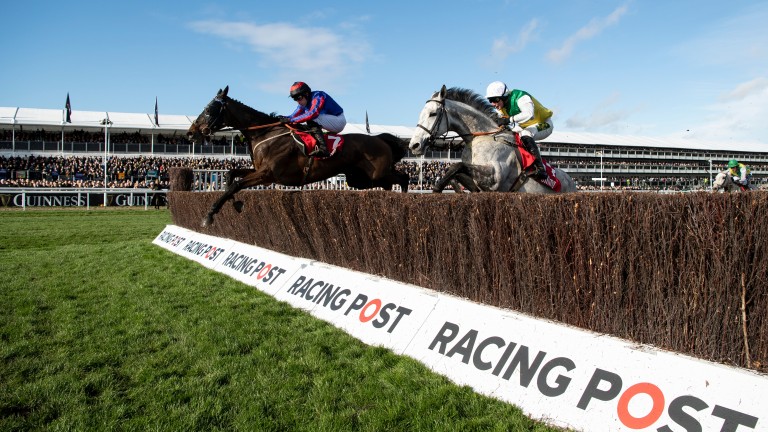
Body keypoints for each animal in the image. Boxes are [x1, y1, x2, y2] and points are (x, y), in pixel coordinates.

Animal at [188, 85, 412, 224]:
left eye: (209, 109)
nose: (191, 132)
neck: (266, 133)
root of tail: (380, 139)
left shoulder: (268, 174)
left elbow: (235, 184)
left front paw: (209, 215)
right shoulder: (260, 171)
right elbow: (230, 175)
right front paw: (236, 203)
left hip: (375, 174)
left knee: (404, 177)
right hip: (360, 179)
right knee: (391, 184)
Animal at [408, 85, 576, 193]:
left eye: (433, 114)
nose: (414, 145)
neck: (483, 137)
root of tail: (572, 182)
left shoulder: (495, 177)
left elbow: (455, 166)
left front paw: (437, 188)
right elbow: (455, 174)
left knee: (527, 134)